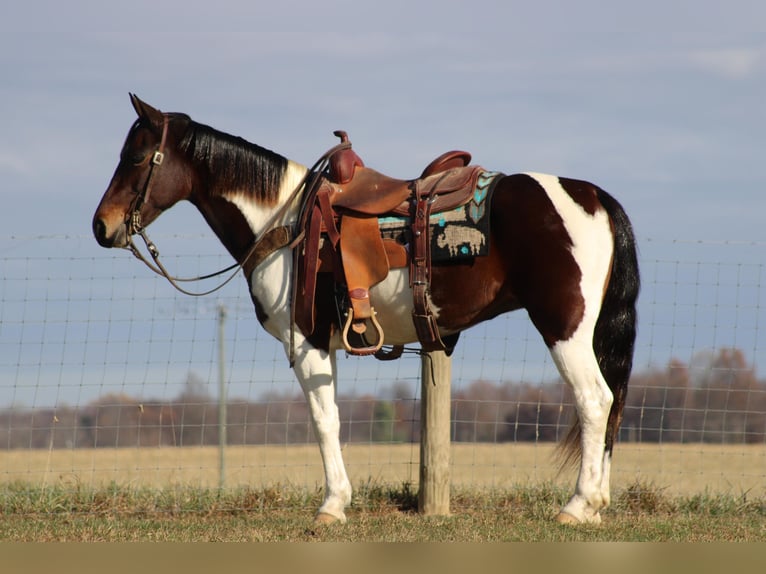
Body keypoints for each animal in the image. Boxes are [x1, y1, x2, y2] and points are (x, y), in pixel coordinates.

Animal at [93, 93, 640, 528]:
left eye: (136, 156)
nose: (102, 226)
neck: (283, 224)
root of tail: (590, 195)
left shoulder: (307, 344)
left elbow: (324, 421)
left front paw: (332, 505)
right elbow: (331, 418)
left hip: (564, 329)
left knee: (595, 401)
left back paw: (578, 504)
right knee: (609, 403)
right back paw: (596, 503)